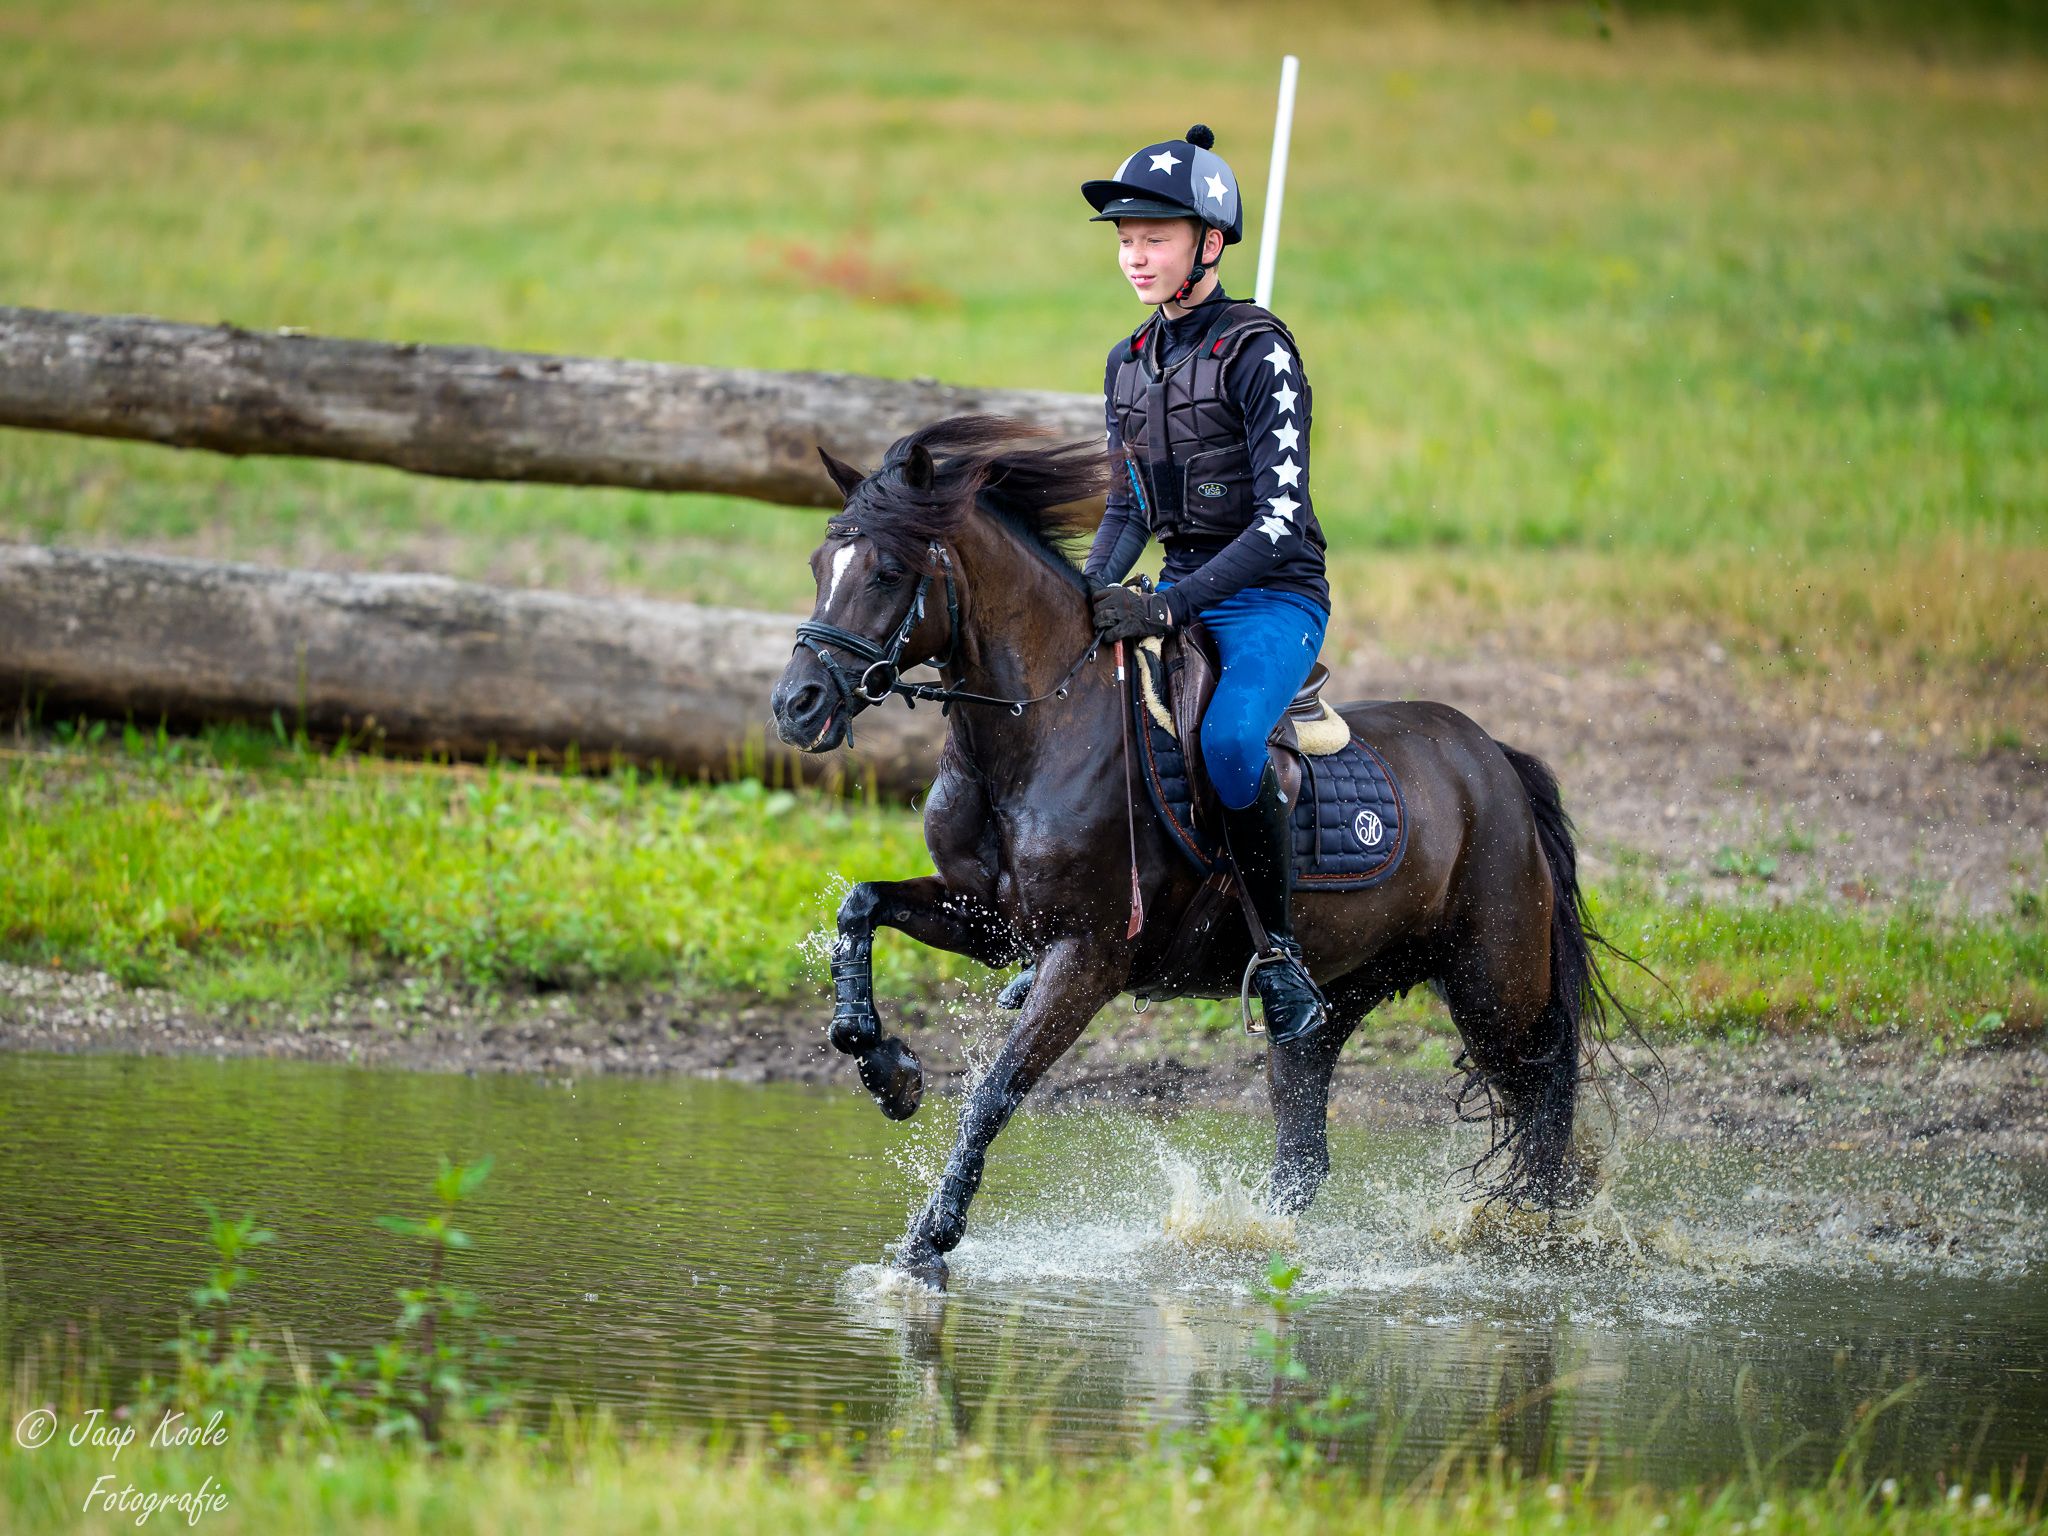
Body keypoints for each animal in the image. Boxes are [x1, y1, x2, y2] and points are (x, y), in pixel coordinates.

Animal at [769, 416, 1628, 1288]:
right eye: (817, 565)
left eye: (887, 571)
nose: (795, 706)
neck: (1039, 729)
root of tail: (1495, 761)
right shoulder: (992, 923)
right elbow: (861, 906)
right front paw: (888, 1070)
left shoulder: (1086, 956)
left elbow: (996, 1091)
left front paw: (928, 1243)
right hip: (1334, 1000)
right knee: (1306, 1153)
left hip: (1495, 990)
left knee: (1543, 1108)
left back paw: (1538, 1242)